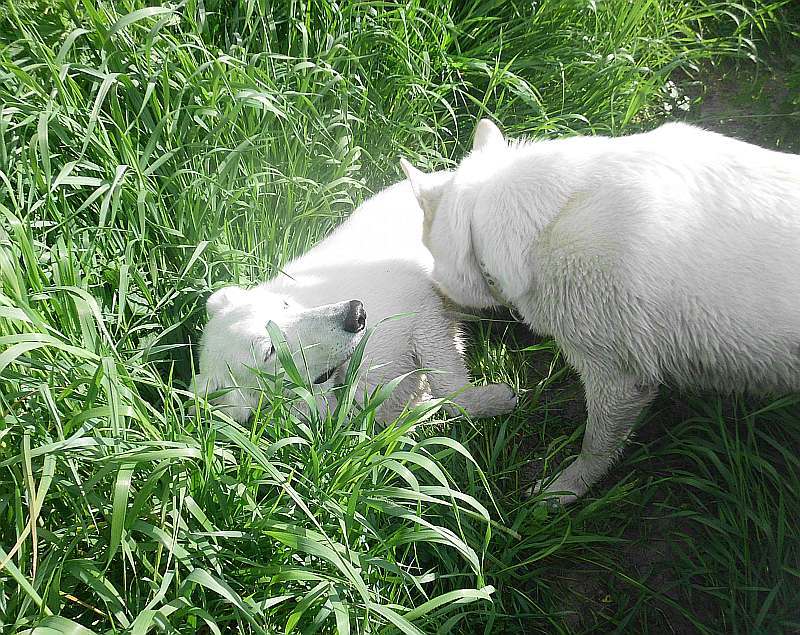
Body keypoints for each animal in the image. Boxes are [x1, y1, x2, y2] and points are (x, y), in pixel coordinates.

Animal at [195, 179, 520, 424]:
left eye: (285, 304)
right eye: (271, 350)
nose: (357, 313)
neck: (346, 375)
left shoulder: (421, 310)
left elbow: (448, 382)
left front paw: (495, 399)